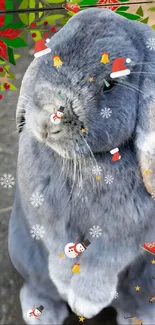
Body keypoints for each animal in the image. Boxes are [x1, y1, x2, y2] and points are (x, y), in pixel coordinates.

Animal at [8, 7, 155, 324]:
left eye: (110, 84)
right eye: (50, 57)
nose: (47, 122)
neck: (87, 162)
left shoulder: (128, 232)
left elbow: (103, 260)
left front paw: (85, 303)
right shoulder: (46, 217)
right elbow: (59, 250)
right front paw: (66, 286)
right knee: (38, 286)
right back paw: (42, 313)